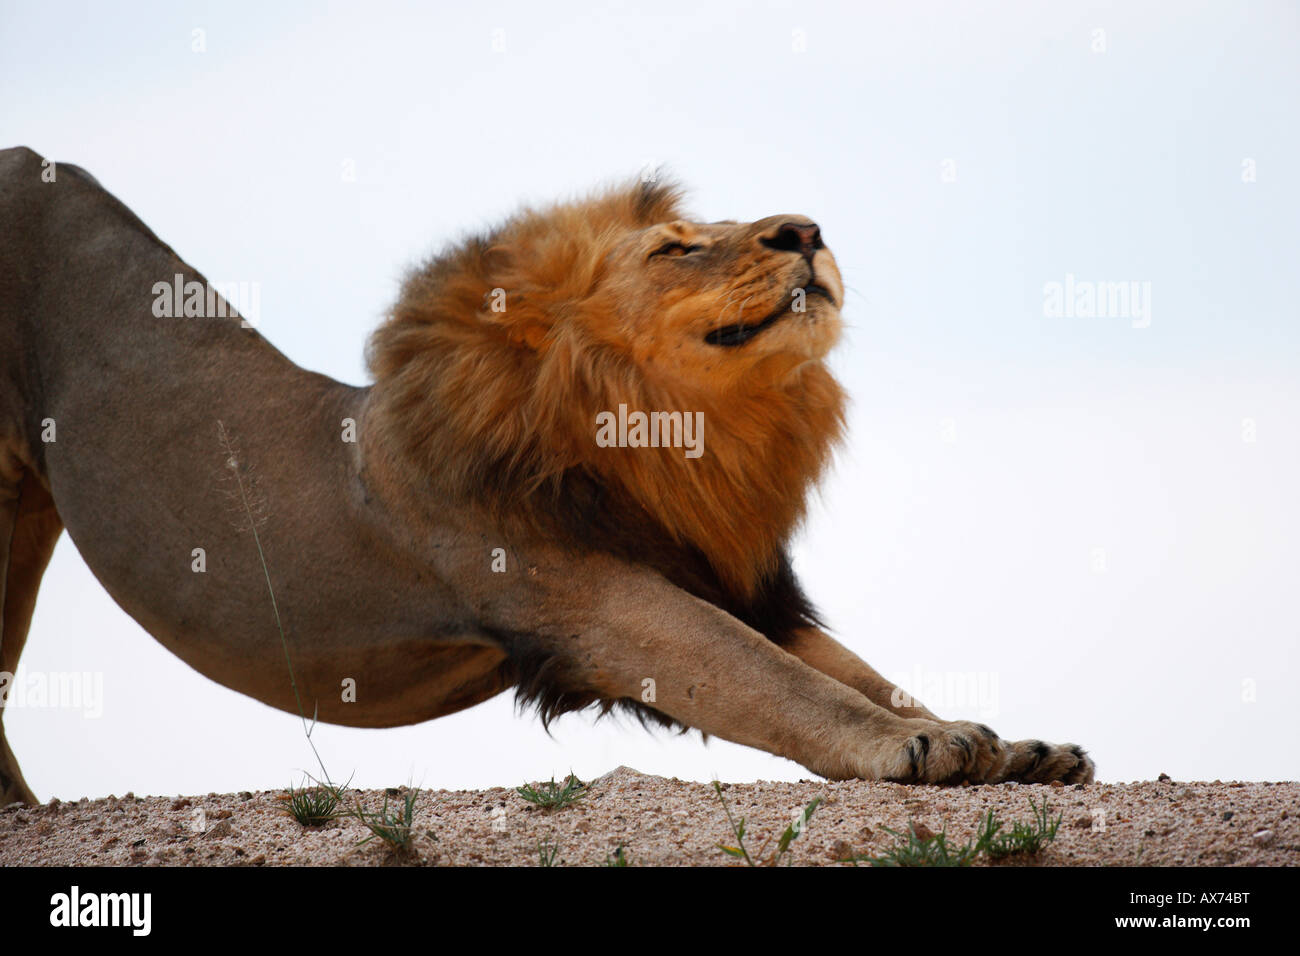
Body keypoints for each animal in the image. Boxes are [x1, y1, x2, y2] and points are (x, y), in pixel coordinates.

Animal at [0, 146, 1092, 806]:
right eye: (679, 248)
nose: (808, 231)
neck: (672, 431)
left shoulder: (714, 573)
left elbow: (860, 670)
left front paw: (1007, 745)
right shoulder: (589, 601)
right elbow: (776, 681)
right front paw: (910, 749)